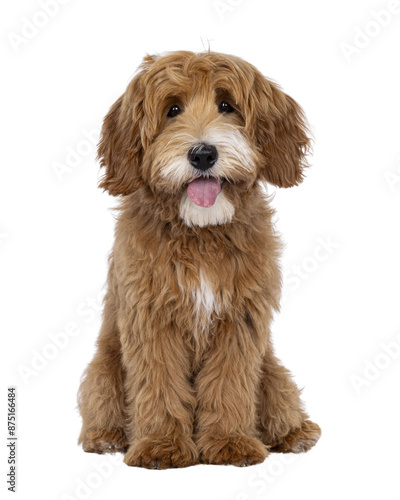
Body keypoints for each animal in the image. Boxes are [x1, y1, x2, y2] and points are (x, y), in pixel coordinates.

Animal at [77, 50, 322, 468]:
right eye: (172, 109)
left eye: (227, 106)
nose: (203, 153)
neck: (200, 233)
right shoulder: (152, 317)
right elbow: (158, 381)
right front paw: (160, 445)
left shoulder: (239, 319)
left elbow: (229, 383)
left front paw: (230, 442)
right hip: (104, 368)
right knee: (101, 399)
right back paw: (105, 437)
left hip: (272, 371)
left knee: (280, 398)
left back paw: (295, 433)